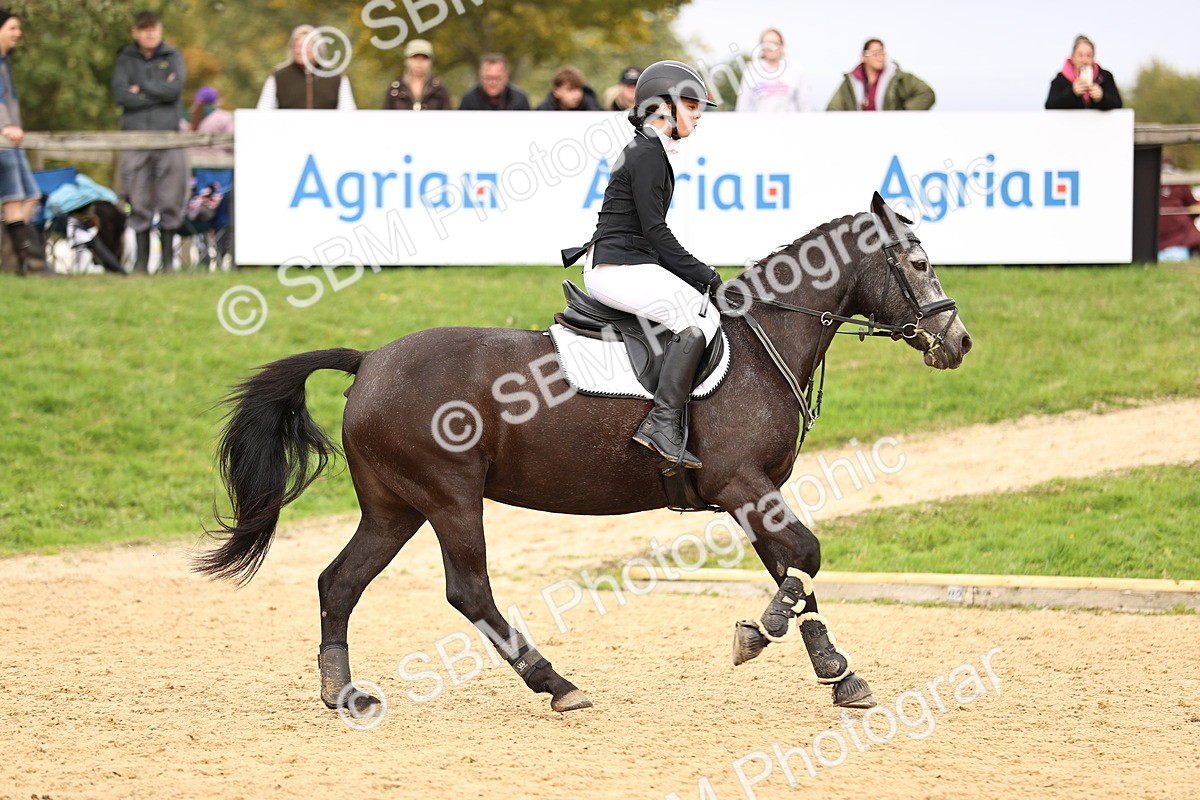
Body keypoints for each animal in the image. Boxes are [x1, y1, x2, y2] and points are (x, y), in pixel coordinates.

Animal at [195, 192, 972, 716]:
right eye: (919, 262)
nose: (958, 342)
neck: (762, 340)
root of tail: (370, 361)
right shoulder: (741, 484)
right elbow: (805, 555)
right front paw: (763, 634)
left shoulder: (752, 494)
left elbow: (794, 567)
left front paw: (836, 671)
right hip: (450, 498)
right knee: (467, 590)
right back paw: (557, 686)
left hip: (395, 508)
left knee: (339, 583)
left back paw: (342, 692)